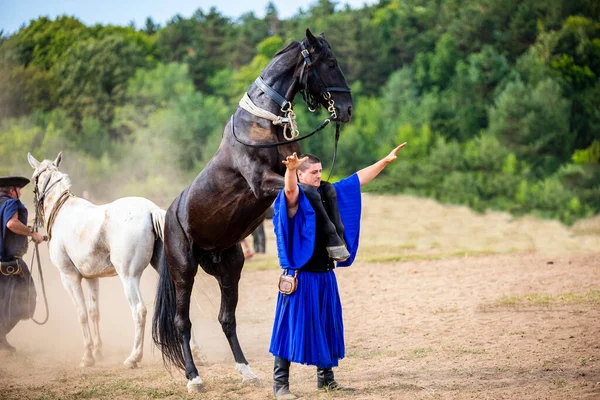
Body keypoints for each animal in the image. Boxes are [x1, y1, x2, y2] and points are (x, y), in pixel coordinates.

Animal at [27, 153, 169, 368]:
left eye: (34, 178)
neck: (62, 211)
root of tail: (150, 210)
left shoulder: (69, 277)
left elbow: (82, 313)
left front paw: (88, 356)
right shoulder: (91, 277)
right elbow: (94, 312)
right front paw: (98, 351)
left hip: (129, 277)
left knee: (139, 310)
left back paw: (133, 357)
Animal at [152, 29, 354, 392]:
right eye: (330, 63)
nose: (345, 109)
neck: (263, 124)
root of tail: (168, 216)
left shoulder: (292, 175)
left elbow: (325, 188)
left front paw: (340, 238)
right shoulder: (264, 183)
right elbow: (310, 191)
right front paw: (335, 242)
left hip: (229, 268)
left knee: (226, 318)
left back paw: (246, 370)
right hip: (183, 271)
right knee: (181, 322)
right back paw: (194, 377)